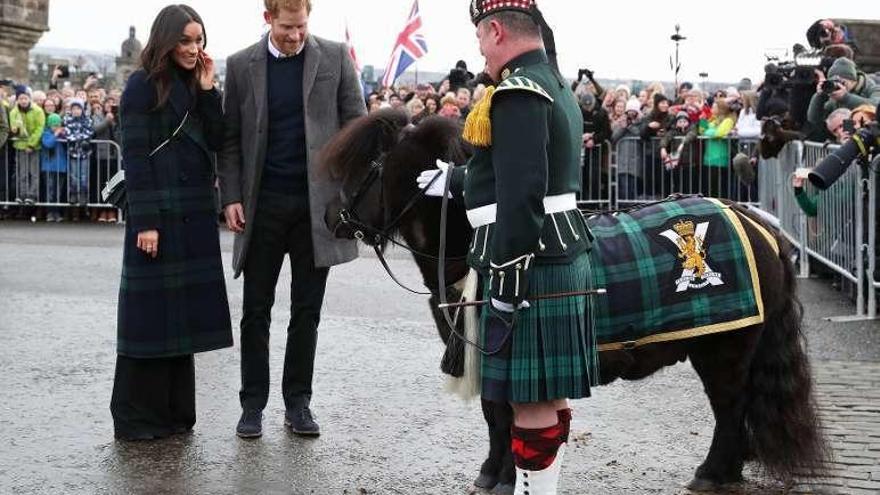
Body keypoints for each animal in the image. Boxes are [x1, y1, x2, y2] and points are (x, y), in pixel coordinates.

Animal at [320, 110, 828, 494]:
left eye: (368, 166)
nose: (330, 217)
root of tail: (758, 225)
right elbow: (494, 417)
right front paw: (492, 472)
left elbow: (505, 417)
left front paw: (504, 478)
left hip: (725, 346)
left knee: (730, 406)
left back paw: (712, 472)